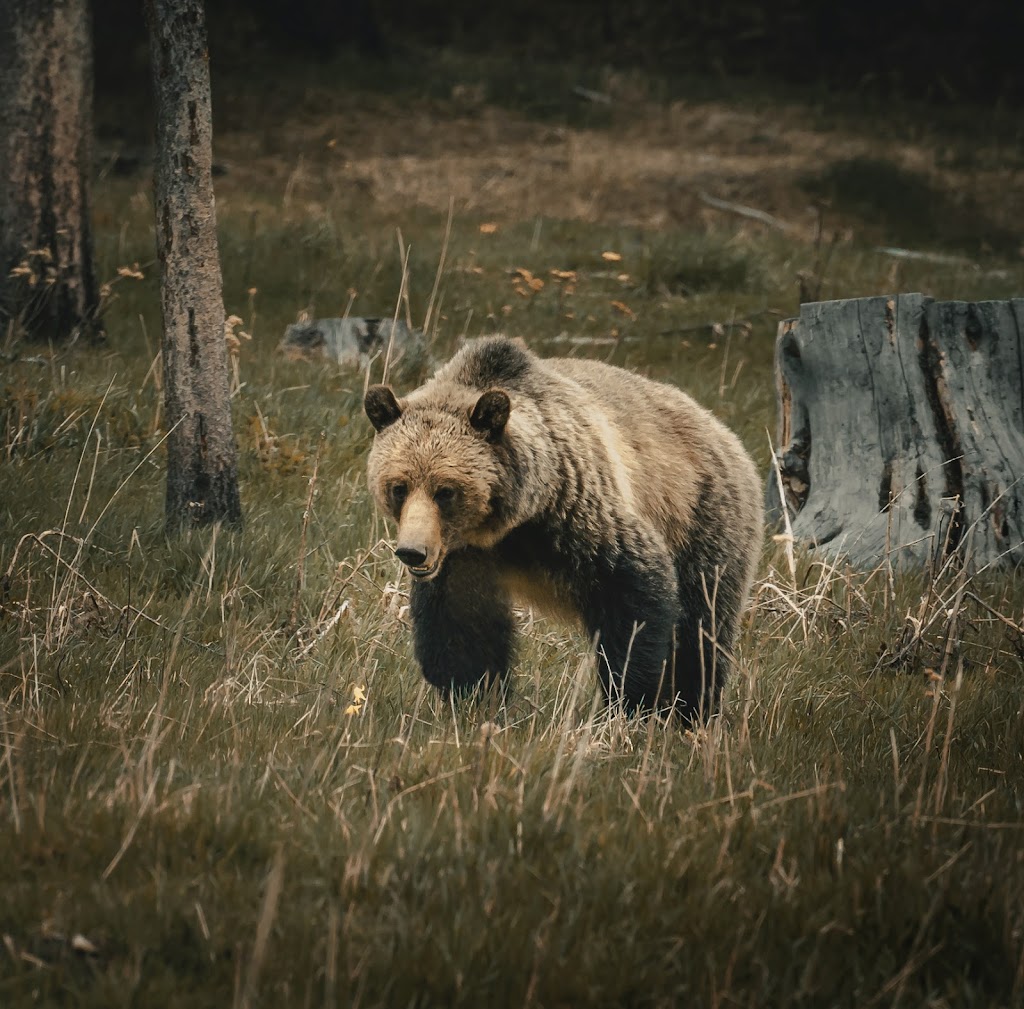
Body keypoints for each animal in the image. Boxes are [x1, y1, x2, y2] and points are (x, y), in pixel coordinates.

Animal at [364, 338, 765, 725]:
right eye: (398, 486)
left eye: (445, 490)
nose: (413, 552)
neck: (508, 525)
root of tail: (723, 429)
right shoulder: (463, 558)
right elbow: (462, 627)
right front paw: (471, 700)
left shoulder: (577, 511)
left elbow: (633, 593)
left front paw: (630, 702)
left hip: (702, 519)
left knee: (703, 625)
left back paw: (692, 711)